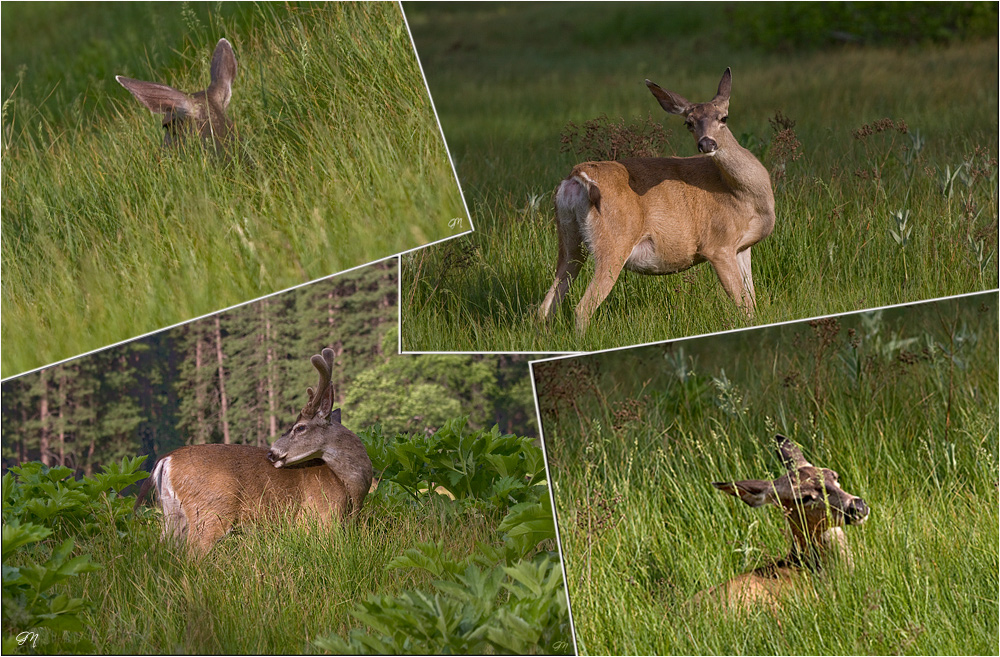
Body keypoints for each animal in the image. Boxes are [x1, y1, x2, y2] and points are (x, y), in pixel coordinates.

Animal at [133, 346, 376, 556]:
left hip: (173, 515)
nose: (272, 453)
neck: (349, 488)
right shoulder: (319, 519)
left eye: (300, 427)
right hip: (210, 513)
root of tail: (167, 459)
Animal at [544, 69, 776, 330]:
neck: (742, 196)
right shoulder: (718, 244)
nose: (706, 143)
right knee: (582, 308)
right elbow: (744, 306)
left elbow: (752, 300)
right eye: (688, 122)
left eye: (724, 117)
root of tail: (576, 175)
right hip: (613, 242)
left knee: (546, 306)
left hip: (569, 241)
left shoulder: (743, 247)